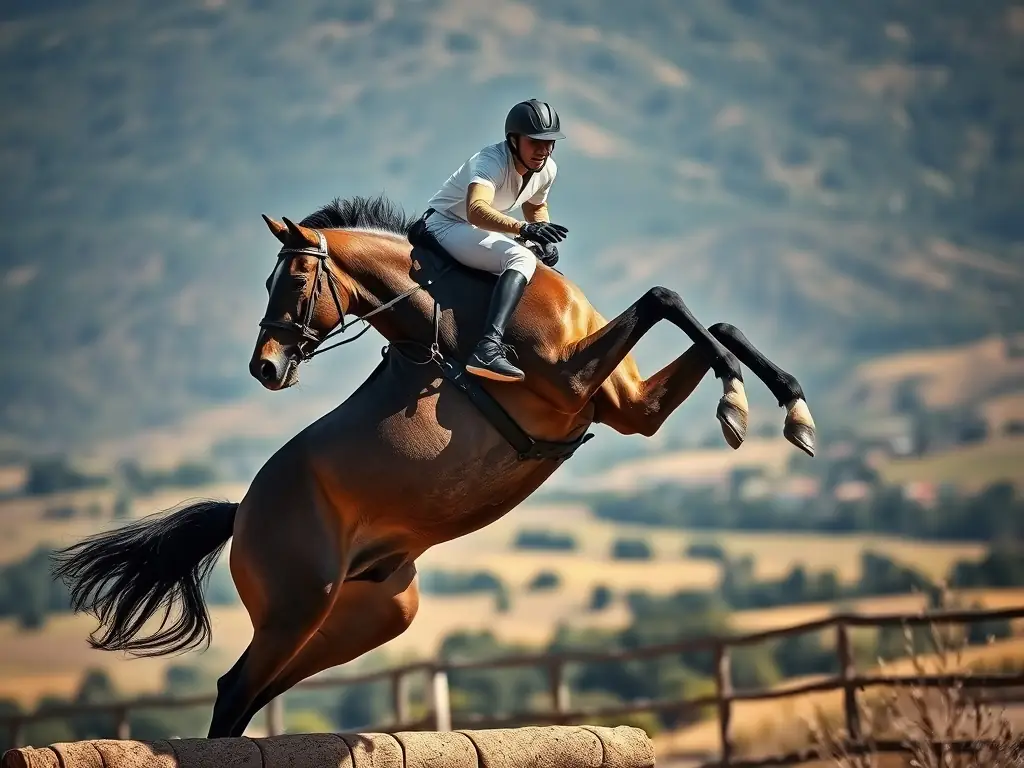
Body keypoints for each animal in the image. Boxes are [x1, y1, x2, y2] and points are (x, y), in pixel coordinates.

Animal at [51, 194, 816, 740]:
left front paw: (788, 409)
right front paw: (737, 398)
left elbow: (713, 324)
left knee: (253, 692)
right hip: (299, 605)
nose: (264, 367)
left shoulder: (628, 406)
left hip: (365, 615)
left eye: (293, 277)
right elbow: (667, 300)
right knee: (236, 690)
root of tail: (243, 511)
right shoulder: (581, 386)